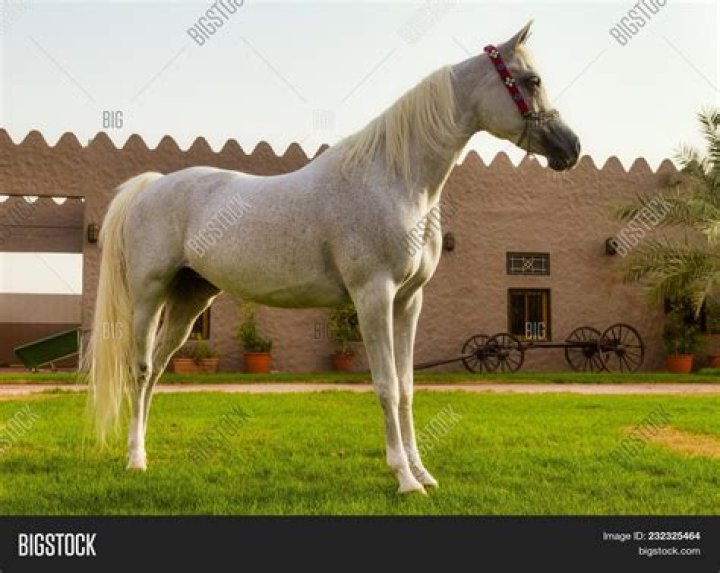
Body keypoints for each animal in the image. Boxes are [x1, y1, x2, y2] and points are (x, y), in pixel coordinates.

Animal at [86, 21, 580, 494]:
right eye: (531, 80)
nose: (570, 148)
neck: (395, 180)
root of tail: (152, 185)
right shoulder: (373, 296)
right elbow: (385, 386)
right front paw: (403, 479)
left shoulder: (408, 301)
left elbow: (407, 388)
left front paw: (423, 474)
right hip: (149, 297)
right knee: (140, 369)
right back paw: (134, 459)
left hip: (191, 299)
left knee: (156, 372)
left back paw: (145, 452)